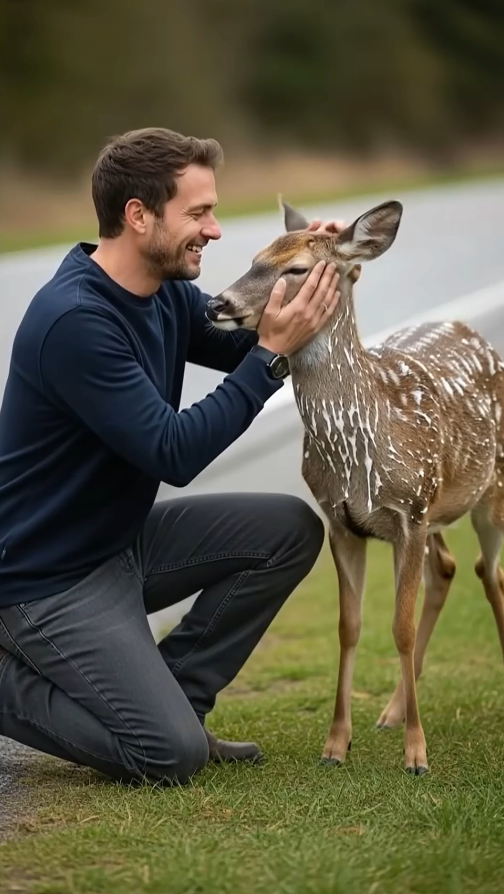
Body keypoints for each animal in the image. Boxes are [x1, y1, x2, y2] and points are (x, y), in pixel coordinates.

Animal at [206, 198, 504, 776]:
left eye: (297, 269)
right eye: (256, 259)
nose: (216, 303)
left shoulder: (409, 513)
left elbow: (400, 628)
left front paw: (416, 755)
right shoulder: (344, 520)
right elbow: (350, 626)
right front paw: (336, 745)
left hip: (490, 488)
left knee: (490, 572)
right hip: (436, 506)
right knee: (450, 568)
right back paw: (390, 711)